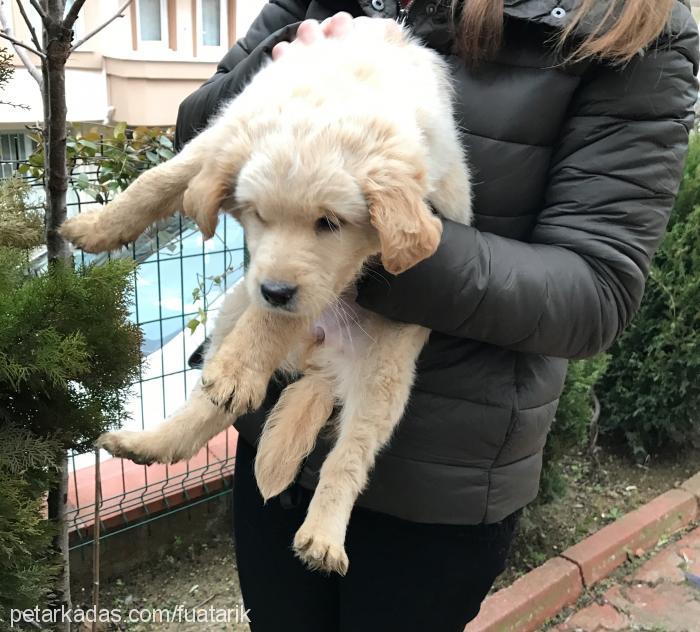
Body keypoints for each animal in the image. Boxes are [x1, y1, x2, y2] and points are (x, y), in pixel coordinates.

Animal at [60, 18, 470, 572]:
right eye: (256, 215)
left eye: (329, 223)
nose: (273, 291)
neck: (334, 94)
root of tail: (319, 362)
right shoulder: (219, 138)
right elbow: (160, 179)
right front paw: (96, 228)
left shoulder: (336, 273)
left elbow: (283, 314)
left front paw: (247, 358)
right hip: (234, 307)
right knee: (207, 404)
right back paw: (150, 441)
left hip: (386, 372)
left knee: (350, 456)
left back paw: (322, 535)